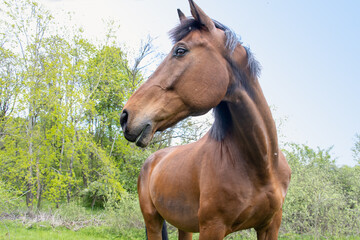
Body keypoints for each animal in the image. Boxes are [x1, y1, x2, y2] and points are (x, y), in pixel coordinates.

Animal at [119, 0, 292, 239]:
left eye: (180, 50)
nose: (125, 115)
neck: (263, 163)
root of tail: (152, 160)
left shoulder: (270, 226)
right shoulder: (213, 227)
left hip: (183, 225)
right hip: (152, 221)